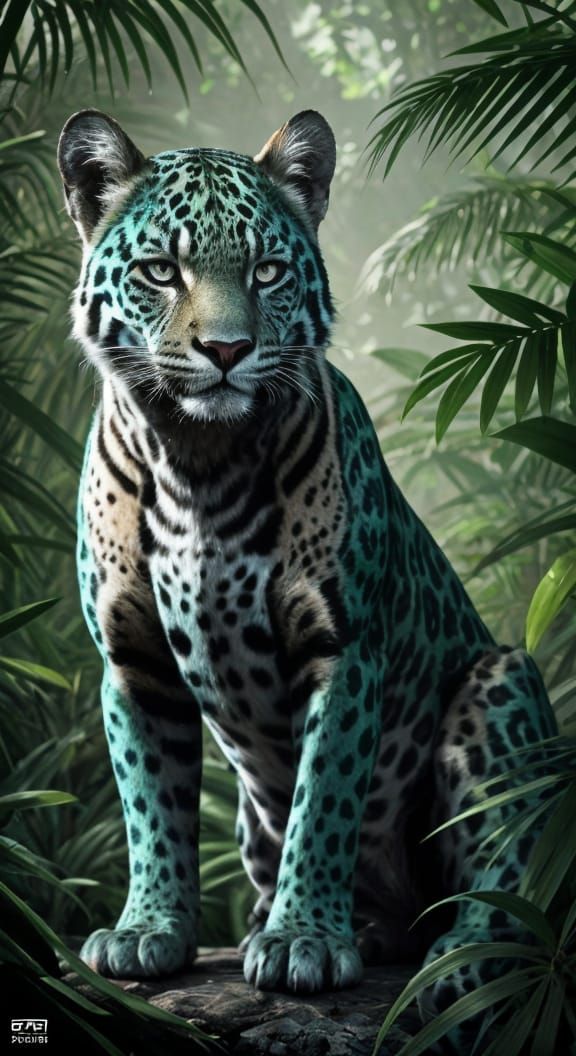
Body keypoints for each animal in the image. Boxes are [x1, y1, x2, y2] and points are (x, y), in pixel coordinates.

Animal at [58, 108, 558, 1047]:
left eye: (266, 269)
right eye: (161, 269)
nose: (226, 350)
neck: (198, 458)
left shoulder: (340, 648)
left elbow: (323, 802)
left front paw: (302, 942)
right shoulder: (133, 660)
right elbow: (151, 807)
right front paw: (149, 931)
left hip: (501, 679)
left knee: (507, 879)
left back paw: (450, 961)